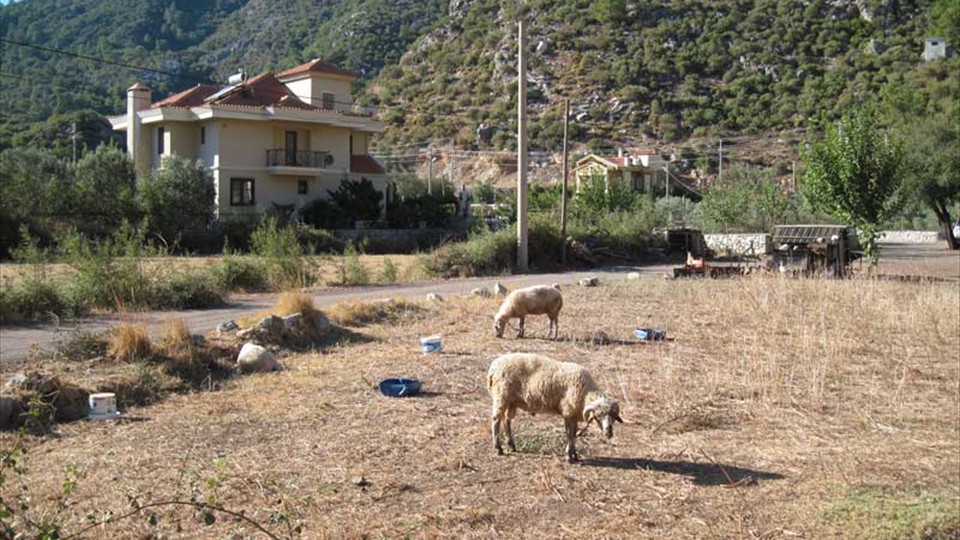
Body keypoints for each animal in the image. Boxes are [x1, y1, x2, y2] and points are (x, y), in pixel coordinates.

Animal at [487, 353, 623, 463]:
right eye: (598, 416)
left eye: (613, 416)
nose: (609, 432)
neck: (585, 392)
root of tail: (493, 366)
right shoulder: (567, 412)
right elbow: (569, 434)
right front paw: (569, 456)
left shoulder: (574, 415)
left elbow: (574, 434)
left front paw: (574, 455)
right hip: (501, 395)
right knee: (496, 420)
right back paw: (498, 448)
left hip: (511, 401)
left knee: (507, 420)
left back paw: (511, 445)